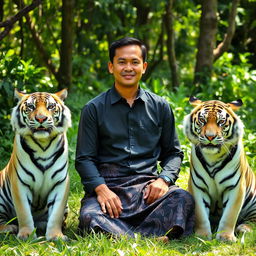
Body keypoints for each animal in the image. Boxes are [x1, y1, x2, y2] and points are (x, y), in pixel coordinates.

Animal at [0, 88, 71, 240]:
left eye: (50, 107)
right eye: (31, 107)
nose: (41, 119)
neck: (43, 145)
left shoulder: (60, 181)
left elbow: (56, 213)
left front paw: (56, 236)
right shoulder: (20, 182)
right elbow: (24, 212)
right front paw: (26, 235)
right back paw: (9, 227)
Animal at [184, 96, 256, 242]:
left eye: (221, 122)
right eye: (202, 120)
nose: (210, 136)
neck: (213, 157)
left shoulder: (235, 187)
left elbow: (230, 214)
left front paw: (225, 237)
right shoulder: (197, 186)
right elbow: (200, 214)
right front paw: (202, 236)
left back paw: (245, 228)